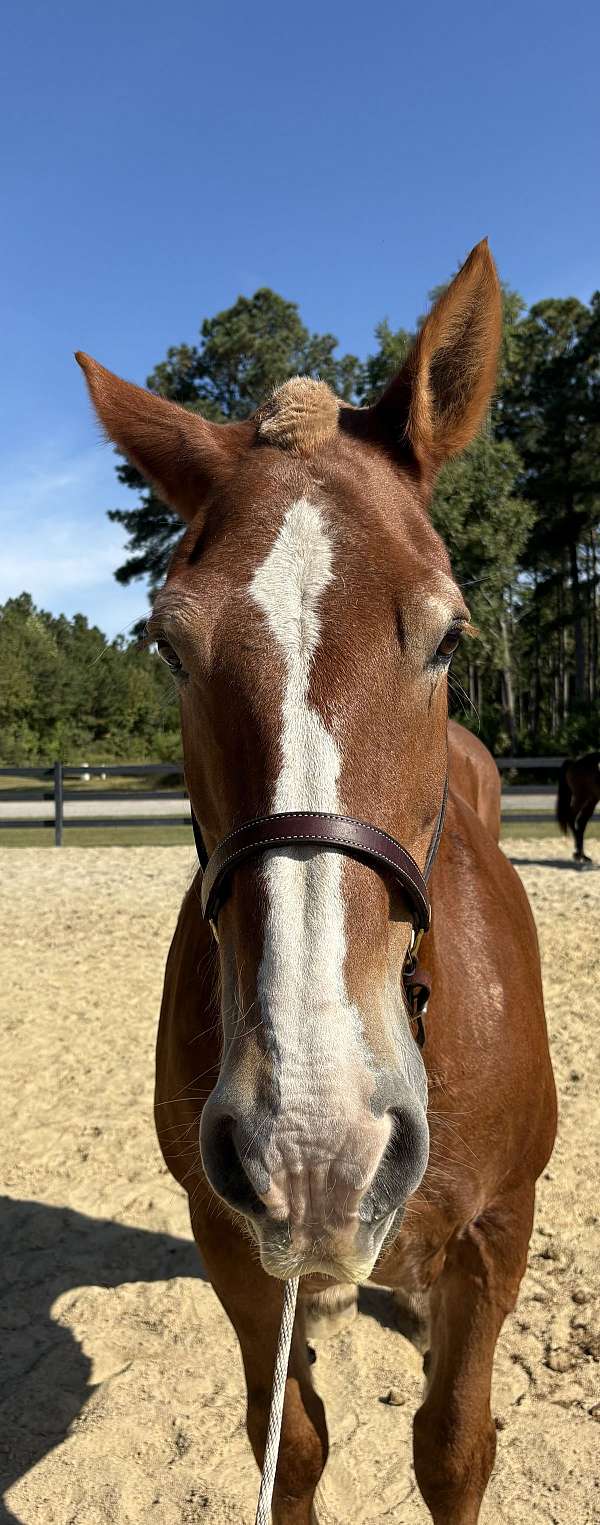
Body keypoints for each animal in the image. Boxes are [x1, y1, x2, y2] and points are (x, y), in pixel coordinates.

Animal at [77, 239, 556, 1525]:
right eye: (169, 645)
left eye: (447, 636)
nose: (313, 1145)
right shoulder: (232, 1241)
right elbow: (287, 1441)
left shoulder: (499, 1228)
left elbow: (455, 1446)